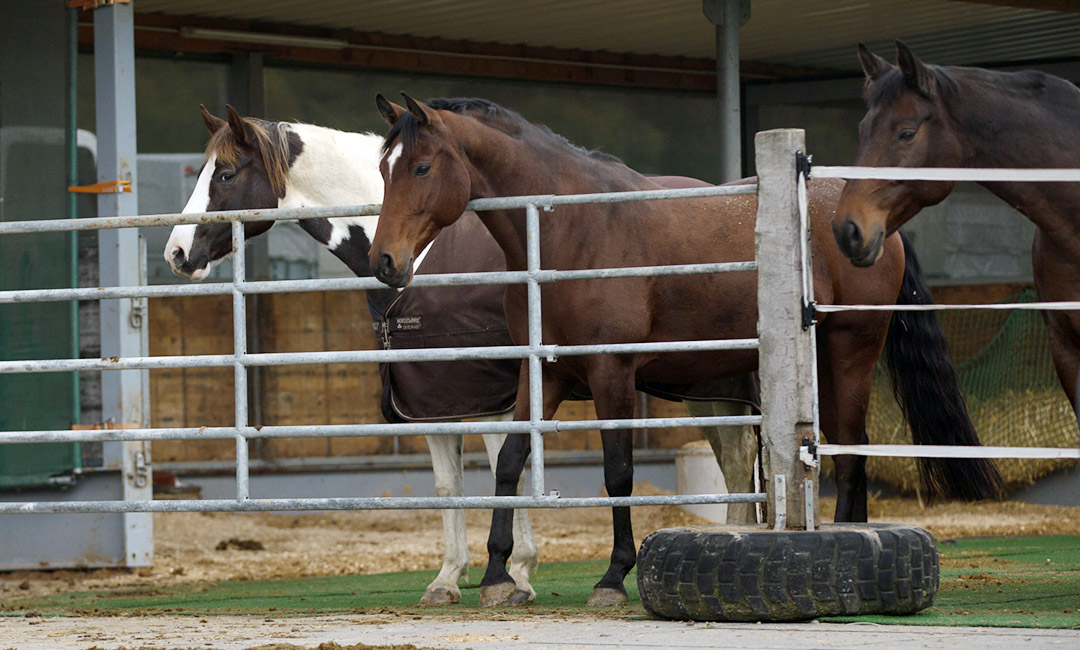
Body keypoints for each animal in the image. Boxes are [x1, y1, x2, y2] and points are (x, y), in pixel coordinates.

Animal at [164, 105, 764, 600]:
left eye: (224, 174)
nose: (176, 252)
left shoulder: (494, 393)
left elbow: (511, 468)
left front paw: (518, 571)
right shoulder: (435, 397)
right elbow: (452, 484)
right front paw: (450, 578)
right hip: (710, 387)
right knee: (737, 463)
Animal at [371, 93, 1002, 604]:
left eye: (421, 167)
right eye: (383, 168)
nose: (385, 261)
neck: (572, 228)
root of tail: (874, 225)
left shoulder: (612, 373)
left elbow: (618, 472)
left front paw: (612, 578)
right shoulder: (543, 374)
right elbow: (510, 461)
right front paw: (498, 576)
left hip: (851, 353)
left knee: (849, 455)